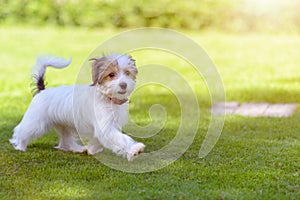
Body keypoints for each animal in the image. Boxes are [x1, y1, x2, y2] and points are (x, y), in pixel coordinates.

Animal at [9, 53, 145, 161]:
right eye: (111, 75)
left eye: (127, 72)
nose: (123, 85)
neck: (107, 97)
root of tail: (42, 90)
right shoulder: (106, 127)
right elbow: (122, 138)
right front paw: (135, 149)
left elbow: (99, 140)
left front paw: (92, 149)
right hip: (36, 123)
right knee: (21, 131)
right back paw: (20, 146)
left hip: (65, 125)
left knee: (65, 141)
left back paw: (77, 149)